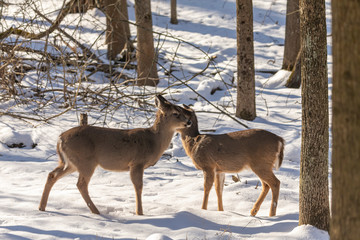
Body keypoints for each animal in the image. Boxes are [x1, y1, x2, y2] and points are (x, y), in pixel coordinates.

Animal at [38, 94, 193, 215]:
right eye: (175, 113)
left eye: (182, 110)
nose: (189, 122)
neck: (153, 141)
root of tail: (60, 139)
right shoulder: (137, 162)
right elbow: (138, 186)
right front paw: (139, 213)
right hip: (86, 161)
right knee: (81, 184)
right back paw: (96, 211)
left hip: (70, 162)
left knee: (52, 175)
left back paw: (42, 207)